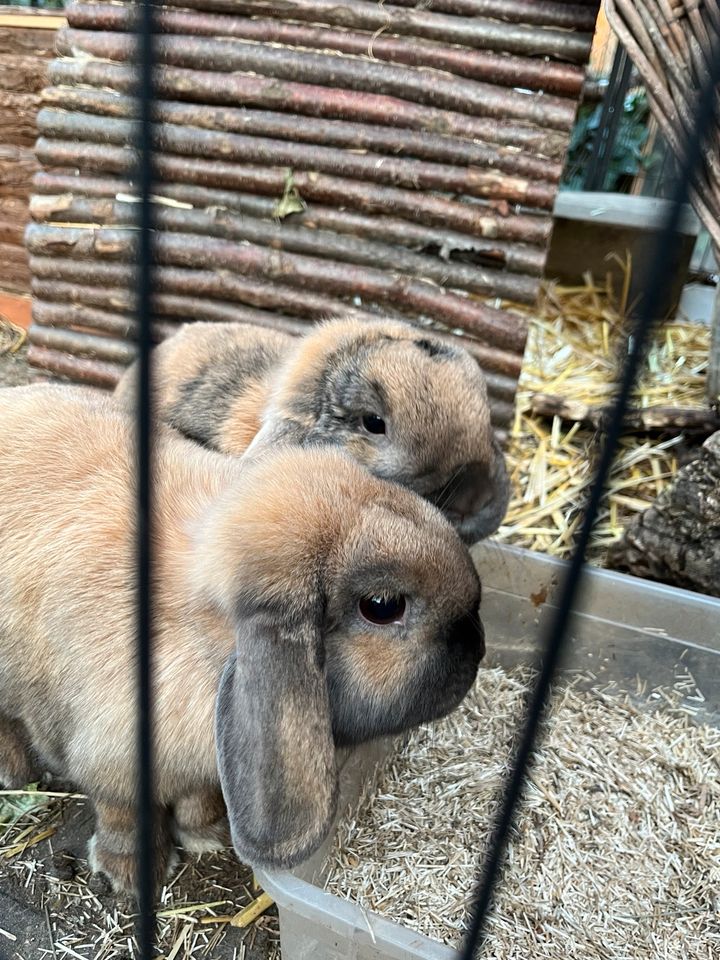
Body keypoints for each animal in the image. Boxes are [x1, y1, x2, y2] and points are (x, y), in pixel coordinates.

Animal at [1, 380, 484, 892]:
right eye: (382, 606)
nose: (477, 648)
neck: (202, 632)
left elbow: (196, 797)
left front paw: (207, 834)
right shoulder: (113, 761)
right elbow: (124, 816)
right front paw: (130, 874)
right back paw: (13, 770)